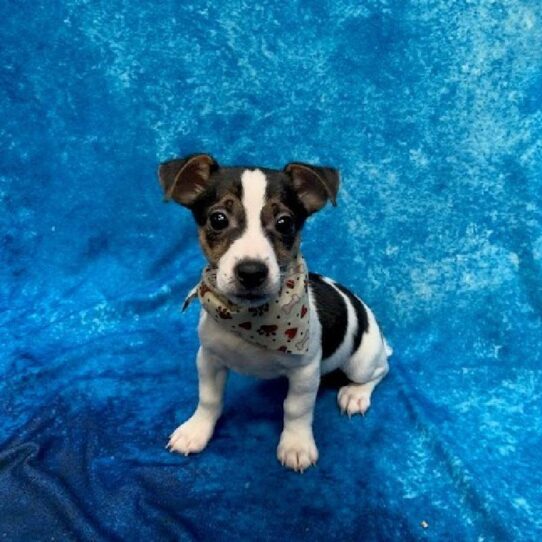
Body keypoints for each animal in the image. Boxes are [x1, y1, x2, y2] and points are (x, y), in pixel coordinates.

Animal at [159, 153, 394, 472]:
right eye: (218, 219)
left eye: (284, 223)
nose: (251, 271)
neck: (251, 319)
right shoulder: (209, 358)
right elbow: (209, 398)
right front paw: (197, 430)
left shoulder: (305, 372)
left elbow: (295, 409)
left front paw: (296, 445)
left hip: (362, 361)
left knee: (381, 371)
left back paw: (355, 394)